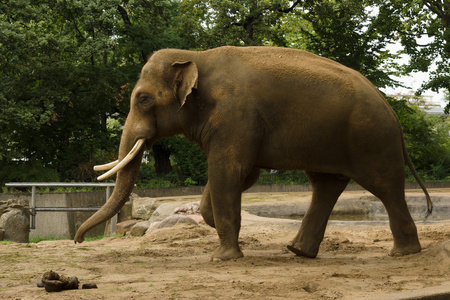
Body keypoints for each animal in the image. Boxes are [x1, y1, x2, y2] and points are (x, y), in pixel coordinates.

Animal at [74, 45, 432, 262]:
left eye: (143, 99)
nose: (77, 241)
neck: (195, 55)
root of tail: (392, 110)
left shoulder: (236, 115)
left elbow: (228, 171)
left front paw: (222, 258)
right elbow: (242, 174)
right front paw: (214, 224)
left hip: (371, 140)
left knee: (385, 188)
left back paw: (403, 253)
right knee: (326, 185)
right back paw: (299, 252)